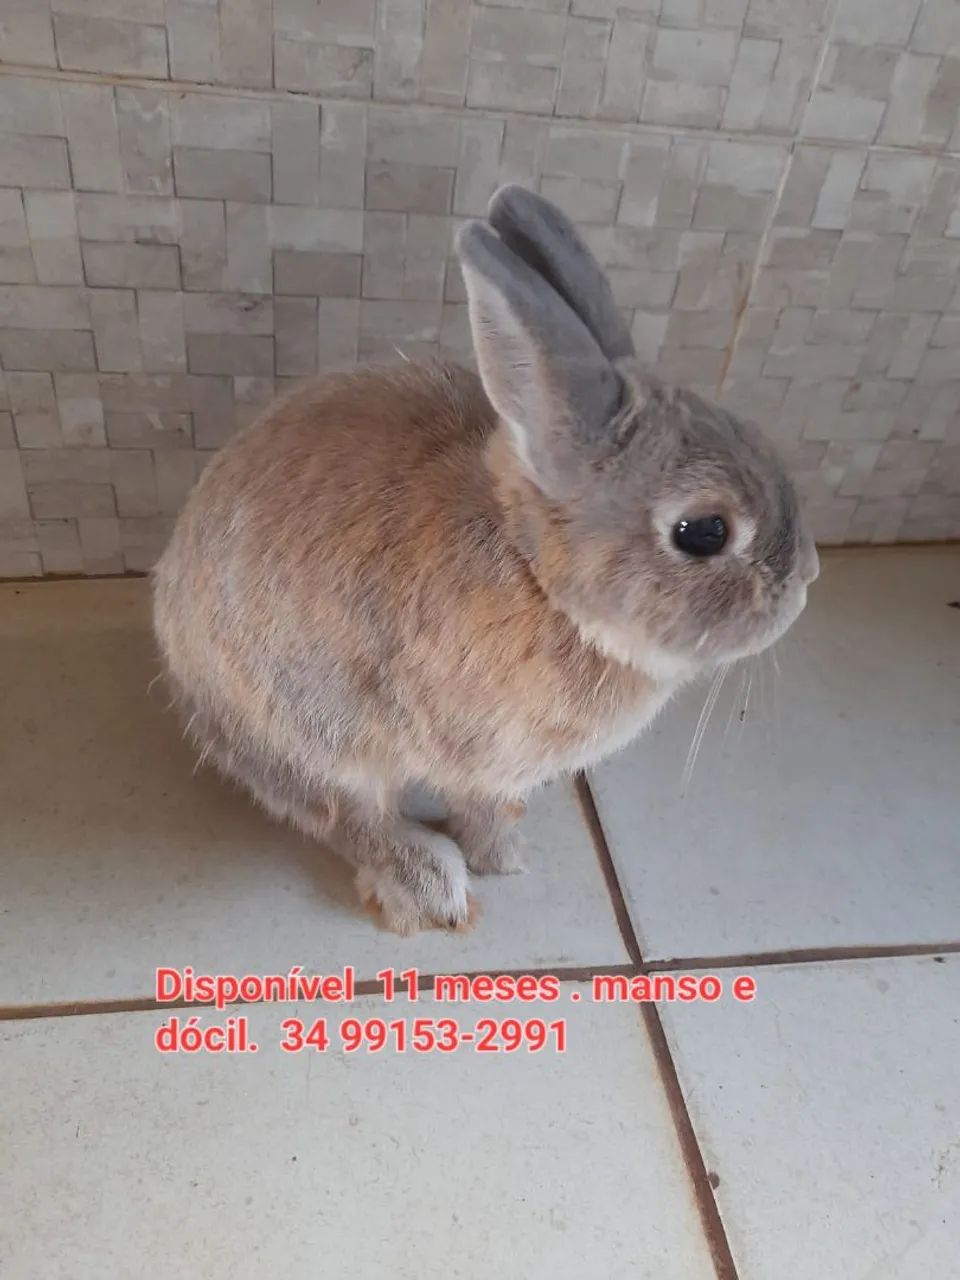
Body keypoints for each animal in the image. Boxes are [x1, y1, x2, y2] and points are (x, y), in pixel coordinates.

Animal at [153, 183, 819, 935]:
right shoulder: (471, 749)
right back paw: (428, 886)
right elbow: (469, 803)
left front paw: (509, 849)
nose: (804, 583)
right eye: (703, 532)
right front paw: (499, 858)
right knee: (339, 814)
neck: (537, 575)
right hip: (309, 728)